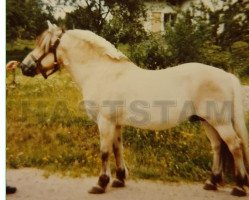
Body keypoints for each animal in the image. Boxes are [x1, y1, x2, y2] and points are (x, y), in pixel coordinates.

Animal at [20, 21, 249, 196]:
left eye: (45, 45)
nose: (24, 67)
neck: (102, 72)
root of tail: (226, 75)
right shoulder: (115, 124)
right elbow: (117, 149)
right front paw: (119, 179)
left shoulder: (105, 122)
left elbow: (104, 152)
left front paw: (100, 183)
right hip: (207, 121)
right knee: (218, 147)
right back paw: (212, 182)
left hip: (219, 122)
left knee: (235, 146)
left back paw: (238, 186)